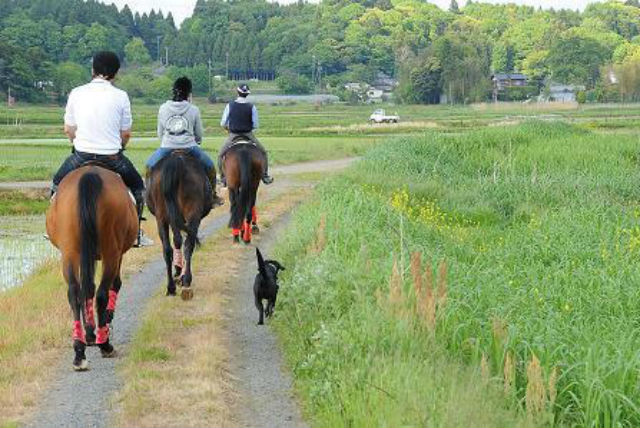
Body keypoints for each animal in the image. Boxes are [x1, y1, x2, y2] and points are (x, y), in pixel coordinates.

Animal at [46, 165, 138, 371]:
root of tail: (89, 174)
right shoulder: (118, 254)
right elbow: (114, 285)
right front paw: (104, 323)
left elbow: (86, 288)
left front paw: (89, 333)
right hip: (111, 251)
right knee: (102, 293)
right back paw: (105, 344)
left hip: (70, 251)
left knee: (75, 292)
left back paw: (79, 352)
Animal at [146, 151, 213, 300]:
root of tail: (176, 162)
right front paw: (179, 272)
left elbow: (176, 241)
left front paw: (177, 271)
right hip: (192, 214)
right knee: (188, 244)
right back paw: (186, 279)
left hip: (162, 218)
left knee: (168, 249)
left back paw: (171, 287)